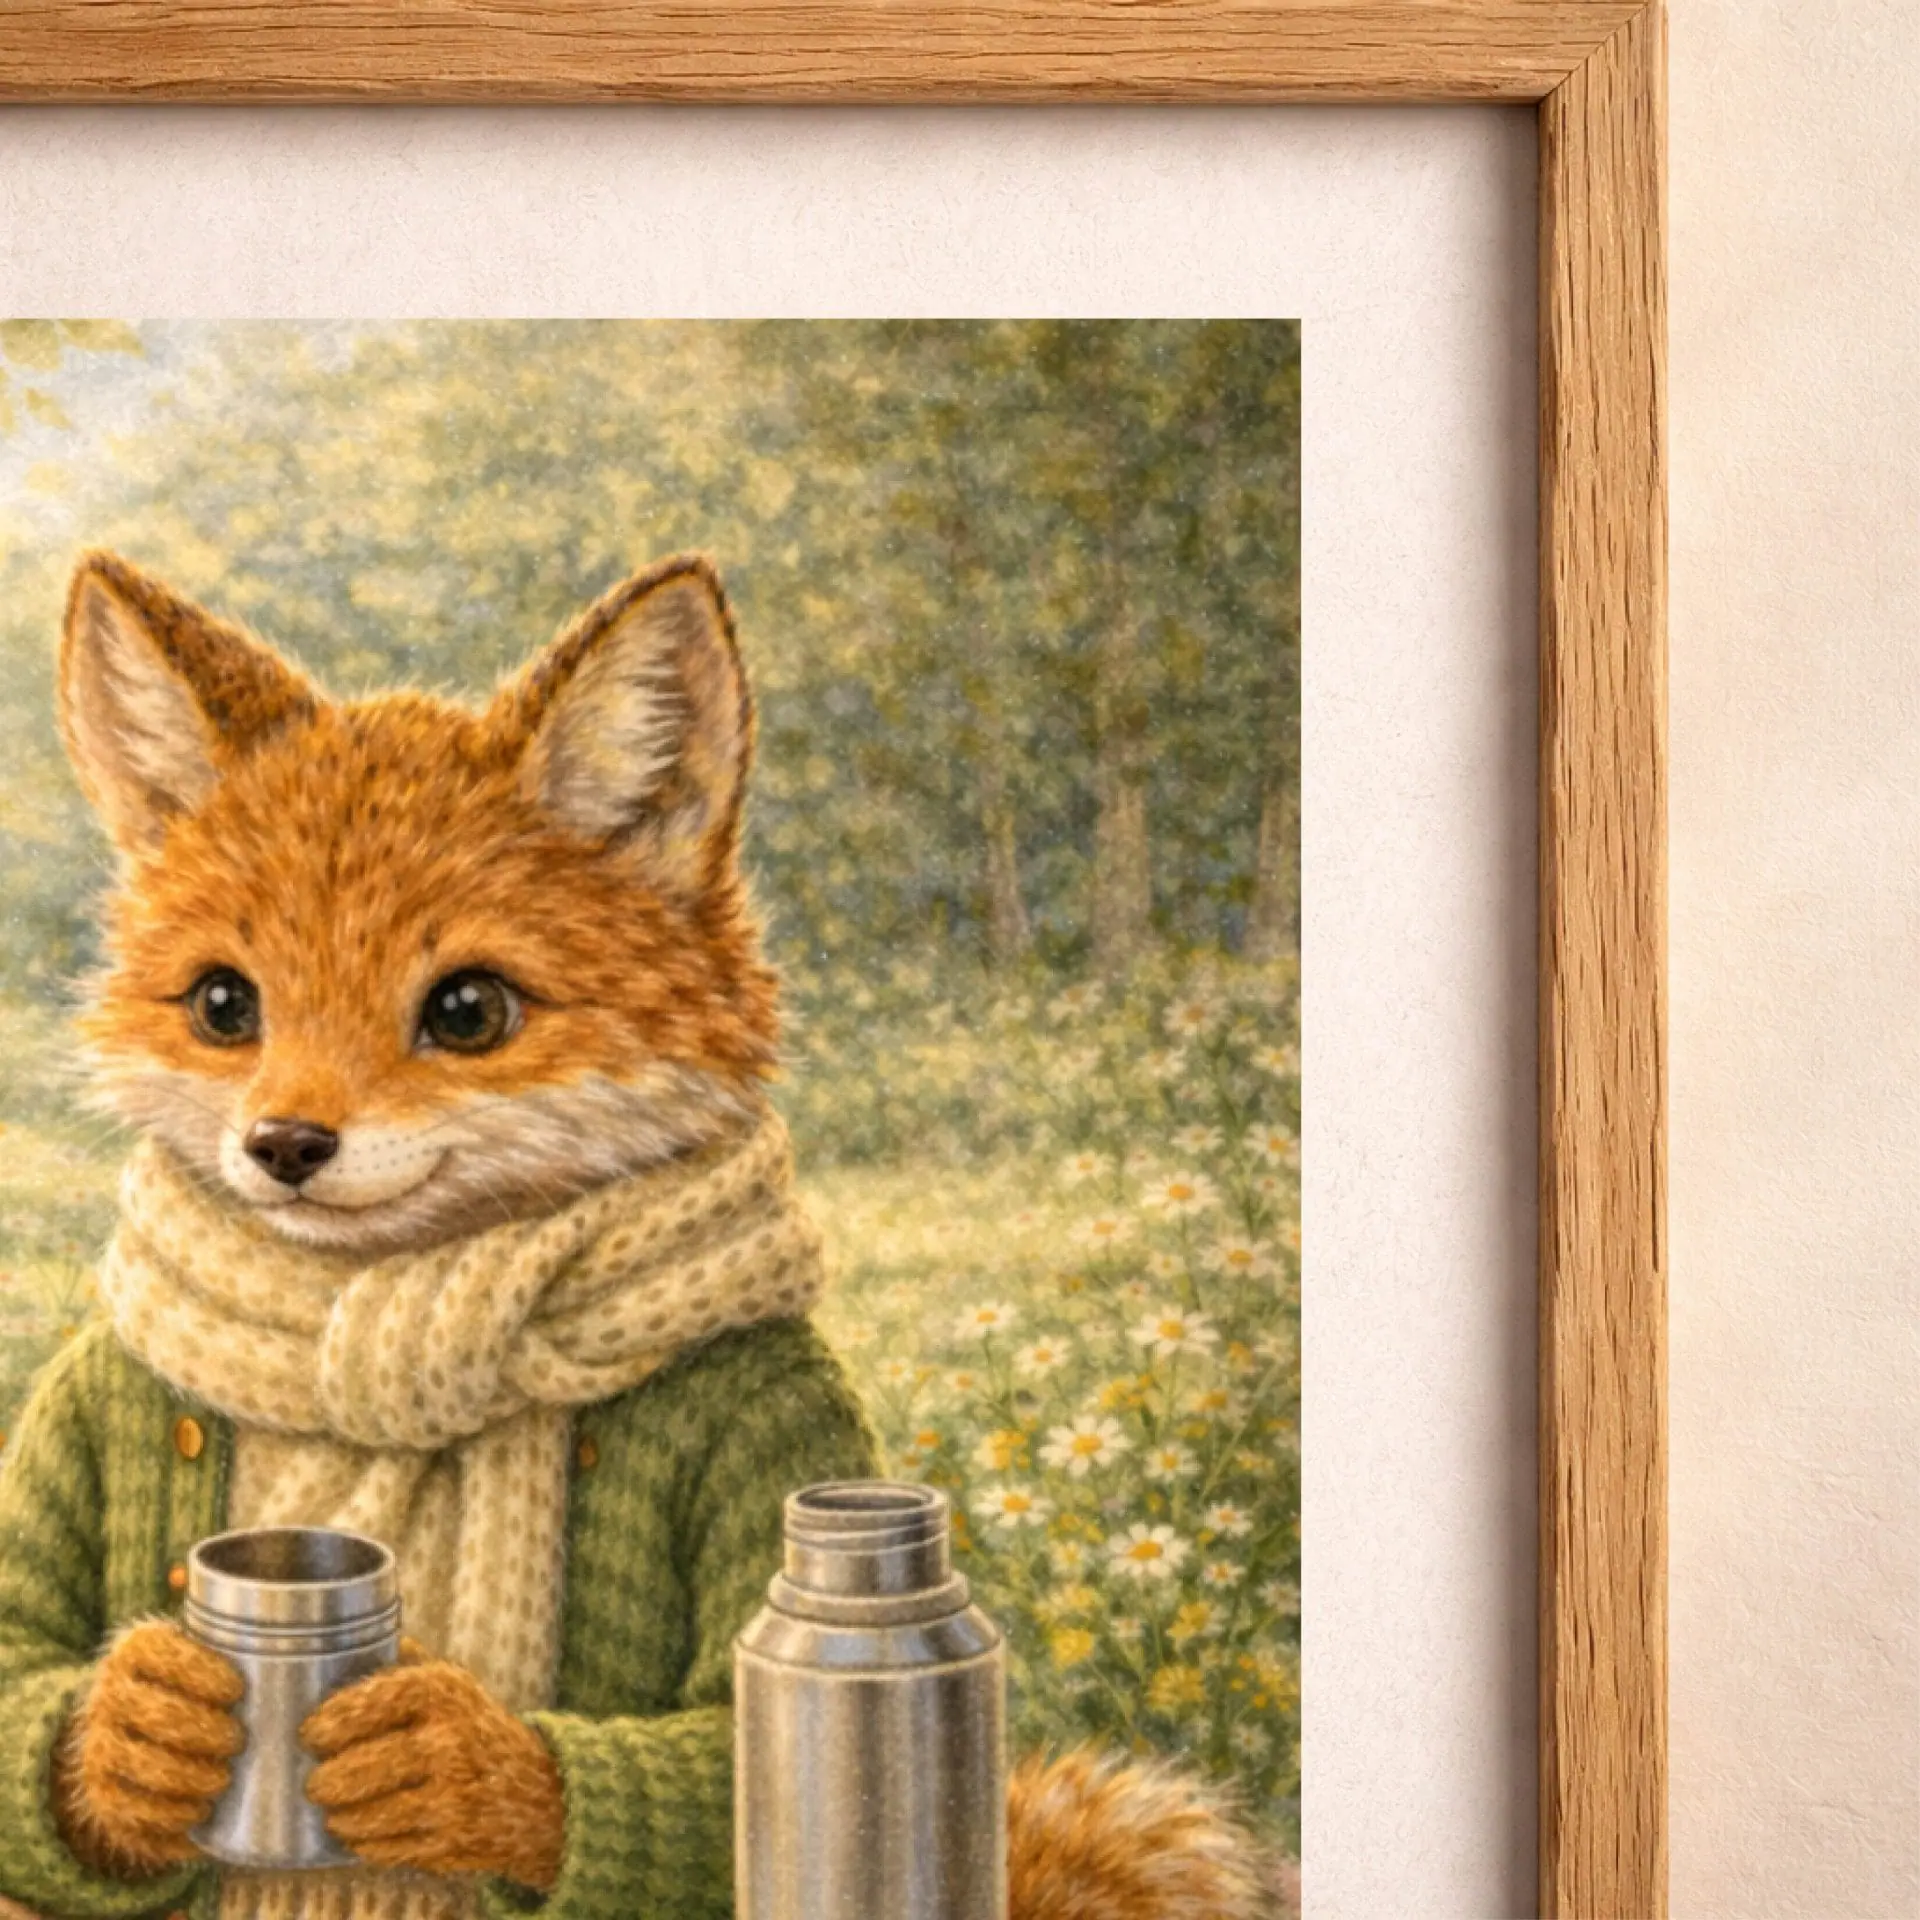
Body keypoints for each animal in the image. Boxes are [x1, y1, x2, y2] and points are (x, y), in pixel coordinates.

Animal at [0, 549, 1273, 1920]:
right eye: (225, 1005)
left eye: (468, 1009)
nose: (284, 1145)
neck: (362, 1348)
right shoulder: (84, 1396)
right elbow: (24, 1653)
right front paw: (137, 1737)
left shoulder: (780, 1420)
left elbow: (710, 1747)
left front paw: (454, 1766)